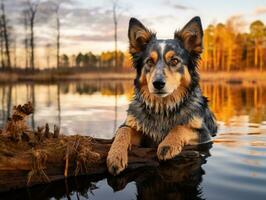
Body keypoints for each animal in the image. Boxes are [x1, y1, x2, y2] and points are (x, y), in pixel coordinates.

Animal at [106, 16, 218, 175]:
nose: (158, 83)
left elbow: (180, 127)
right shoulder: (137, 130)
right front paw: (115, 156)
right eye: (149, 61)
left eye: (174, 60)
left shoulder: (204, 135)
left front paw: (167, 145)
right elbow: (123, 130)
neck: (163, 106)